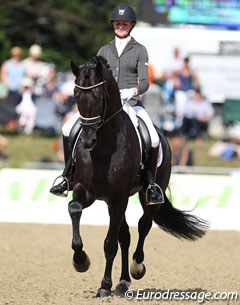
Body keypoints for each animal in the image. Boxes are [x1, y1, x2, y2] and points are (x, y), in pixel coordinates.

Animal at [67, 55, 208, 296]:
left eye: (98, 95)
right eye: (76, 94)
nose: (87, 141)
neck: (103, 147)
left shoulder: (119, 197)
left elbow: (110, 243)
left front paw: (104, 285)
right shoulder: (86, 190)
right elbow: (75, 208)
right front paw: (80, 260)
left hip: (146, 196)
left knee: (143, 226)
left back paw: (135, 268)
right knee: (125, 235)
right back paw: (123, 281)